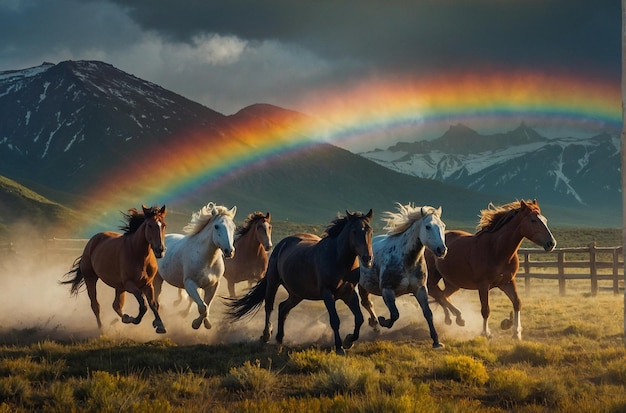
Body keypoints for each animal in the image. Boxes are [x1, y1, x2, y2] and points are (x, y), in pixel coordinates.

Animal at [61, 204, 168, 334]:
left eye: (163, 225)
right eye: (149, 225)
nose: (160, 250)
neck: (138, 254)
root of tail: (92, 242)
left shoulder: (148, 284)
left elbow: (153, 304)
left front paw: (160, 325)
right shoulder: (130, 284)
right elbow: (143, 305)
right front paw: (135, 319)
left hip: (119, 287)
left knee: (116, 305)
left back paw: (124, 318)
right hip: (91, 278)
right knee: (95, 305)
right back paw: (102, 329)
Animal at [154, 201, 236, 330]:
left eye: (233, 227)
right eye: (216, 226)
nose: (229, 251)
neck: (207, 260)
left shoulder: (212, 286)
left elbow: (206, 306)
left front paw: (206, 323)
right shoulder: (190, 283)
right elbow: (203, 307)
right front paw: (195, 324)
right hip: (157, 278)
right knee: (156, 297)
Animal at [229, 209, 376, 354]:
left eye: (370, 231)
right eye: (354, 231)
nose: (367, 258)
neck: (337, 259)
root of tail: (281, 244)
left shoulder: (349, 293)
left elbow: (359, 318)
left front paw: (348, 341)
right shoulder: (327, 293)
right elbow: (335, 320)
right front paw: (340, 347)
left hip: (297, 294)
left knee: (283, 308)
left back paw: (279, 339)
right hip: (273, 282)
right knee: (269, 306)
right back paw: (266, 336)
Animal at [354, 203, 446, 348]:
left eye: (443, 226)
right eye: (428, 226)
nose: (441, 250)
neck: (407, 261)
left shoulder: (420, 289)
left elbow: (428, 313)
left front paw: (436, 341)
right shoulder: (387, 290)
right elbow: (395, 314)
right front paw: (383, 321)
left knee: (367, 303)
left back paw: (374, 324)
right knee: (366, 303)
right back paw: (375, 324)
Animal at [424, 198, 556, 340]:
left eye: (545, 220)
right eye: (533, 220)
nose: (551, 243)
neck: (496, 250)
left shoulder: (507, 281)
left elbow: (517, 302)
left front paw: (516, 332)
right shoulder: (483, 285)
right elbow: (485, 310)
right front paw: (486, 333)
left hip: (453, 283)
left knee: (442, 296)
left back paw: (452, 318)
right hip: (433, 276)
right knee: (437, 294)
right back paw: (457, 317)